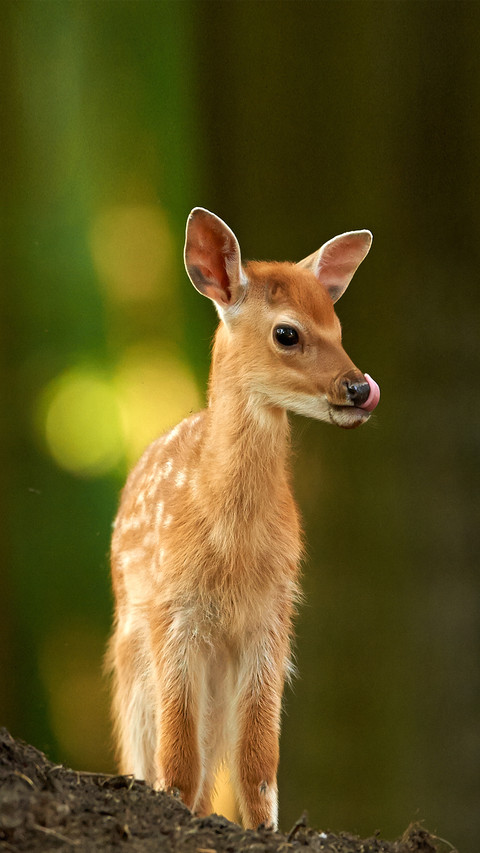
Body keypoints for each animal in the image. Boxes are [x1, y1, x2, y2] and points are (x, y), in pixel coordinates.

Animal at [107, 207, 380, 831]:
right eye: (287, 332)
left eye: (338, 326)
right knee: (147, 739)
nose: (360, 388)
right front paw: (175, 811)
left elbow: (258, 756)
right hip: (131, 637)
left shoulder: (272, 616)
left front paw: (265, 829)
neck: (229, 540)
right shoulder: (174, 611)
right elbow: (179, 750)